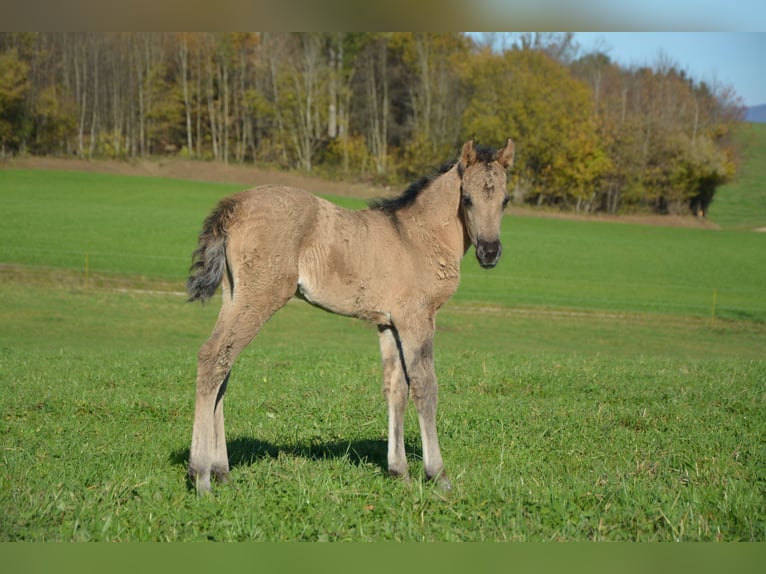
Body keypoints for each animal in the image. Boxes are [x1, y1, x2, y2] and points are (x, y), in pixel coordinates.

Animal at [186, 138, 515, 494]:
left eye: (505, 200)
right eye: (466, 198)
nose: (490, 252)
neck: (417, 236)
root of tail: (235, 204)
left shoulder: (388, 323)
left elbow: (396, 388)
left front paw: (399, 471)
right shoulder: (417, 318)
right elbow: (425, 386)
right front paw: (438, 475)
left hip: (234, 295)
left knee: (223, 366)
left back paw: (220, 471)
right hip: (260, 297)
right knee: (214, 357)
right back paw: (200, 475)